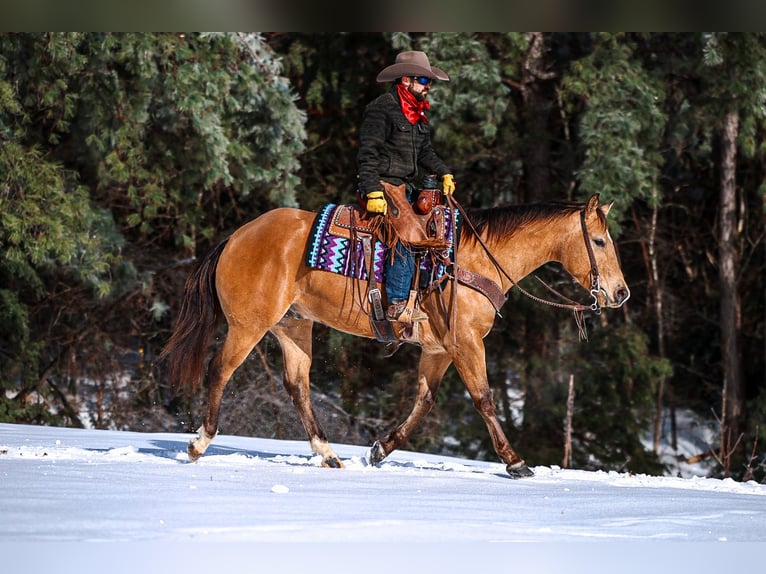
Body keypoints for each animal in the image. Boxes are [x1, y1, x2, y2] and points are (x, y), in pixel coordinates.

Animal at [161, 193, 630, 479]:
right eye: (600, 241)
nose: (620, 293)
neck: (474, 261)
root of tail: (237, 236)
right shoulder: (465, 343)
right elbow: (484, 399)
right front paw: (515, 463)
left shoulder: (439, 350)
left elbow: (423, 402)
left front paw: (380, 450)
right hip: (249, 325)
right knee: (220, 370)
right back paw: (199, 443)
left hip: (293, 326)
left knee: (297, 386)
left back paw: (329, 455)